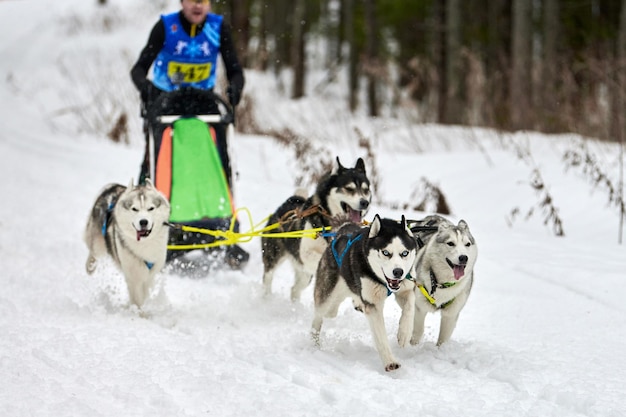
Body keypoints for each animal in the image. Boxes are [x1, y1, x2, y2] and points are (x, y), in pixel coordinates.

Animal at [84, 177, 171, 308]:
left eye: (151, 208)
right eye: (134, 209)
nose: (143, 222)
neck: (144, 244)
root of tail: (113, 187)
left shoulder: (149, 274)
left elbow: (144, 293)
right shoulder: (133, 275)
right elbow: (137, 299)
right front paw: (138, 311)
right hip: (97, 242)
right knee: (93, 250)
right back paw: (90, 266)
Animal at [260, 158, 368, 300]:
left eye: (366, 190)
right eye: (349, 189)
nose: (364, 202)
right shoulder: (305, 253)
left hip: (305, 275)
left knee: (295, 289)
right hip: (273, 256)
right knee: (268, 278)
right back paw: (266, 297)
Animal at [310, 214, 416, 370]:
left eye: (404, 253)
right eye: (385, 253)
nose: (398, 272)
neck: (382, 281)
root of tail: (342, 230)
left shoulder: (406, 289)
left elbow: (410, 308)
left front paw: (404, 334)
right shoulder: (373, 305)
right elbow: (381, 337)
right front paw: (390, 361)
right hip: (327, 294)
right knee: (319, 315)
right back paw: (314, 341)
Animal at [408, 214, 476, 344]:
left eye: (467, 244)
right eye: (450, 243)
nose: (463, 257)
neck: (442, 284)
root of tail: (434, 216)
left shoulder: (451, 315)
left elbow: (443, 341)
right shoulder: (419, 308)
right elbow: (417, 332)